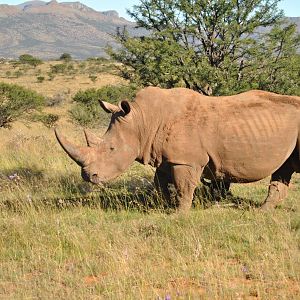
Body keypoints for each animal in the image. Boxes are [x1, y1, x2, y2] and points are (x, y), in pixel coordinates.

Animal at [54, 87, 300, 211]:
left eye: (112, 149)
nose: (88, 176)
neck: (143, 120)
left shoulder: (186, 160)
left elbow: (184, 187)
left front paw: (179, 214)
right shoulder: (164, 157)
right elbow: (160, 182)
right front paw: (162, 206)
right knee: (283, 169)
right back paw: (262, 212)